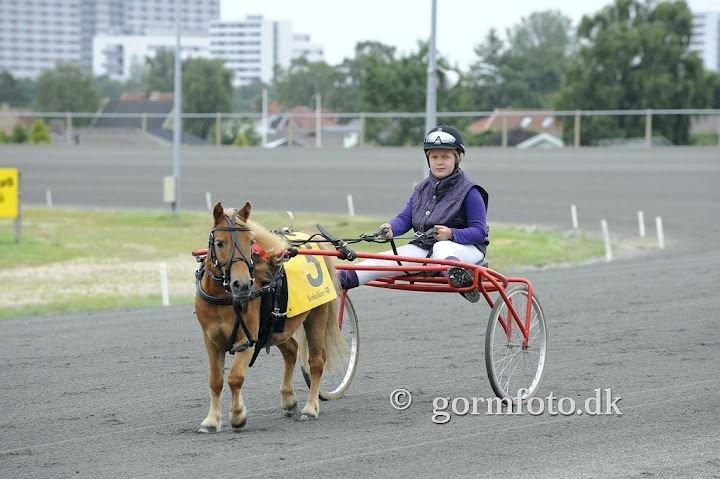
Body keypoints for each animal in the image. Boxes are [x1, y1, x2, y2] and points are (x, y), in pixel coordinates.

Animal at [194, 201, 346, 434]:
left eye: (251, 242)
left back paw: (310, 408)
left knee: (316, 361)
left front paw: (238, 415)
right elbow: (215, 380)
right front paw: (211, 421)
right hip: (276, 328)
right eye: (219, 243)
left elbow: (235, 377)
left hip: (317, 314)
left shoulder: (247, 339)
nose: (242, 285)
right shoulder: (211, 340)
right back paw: (289, 399)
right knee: (291, 350)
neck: (225, 298)